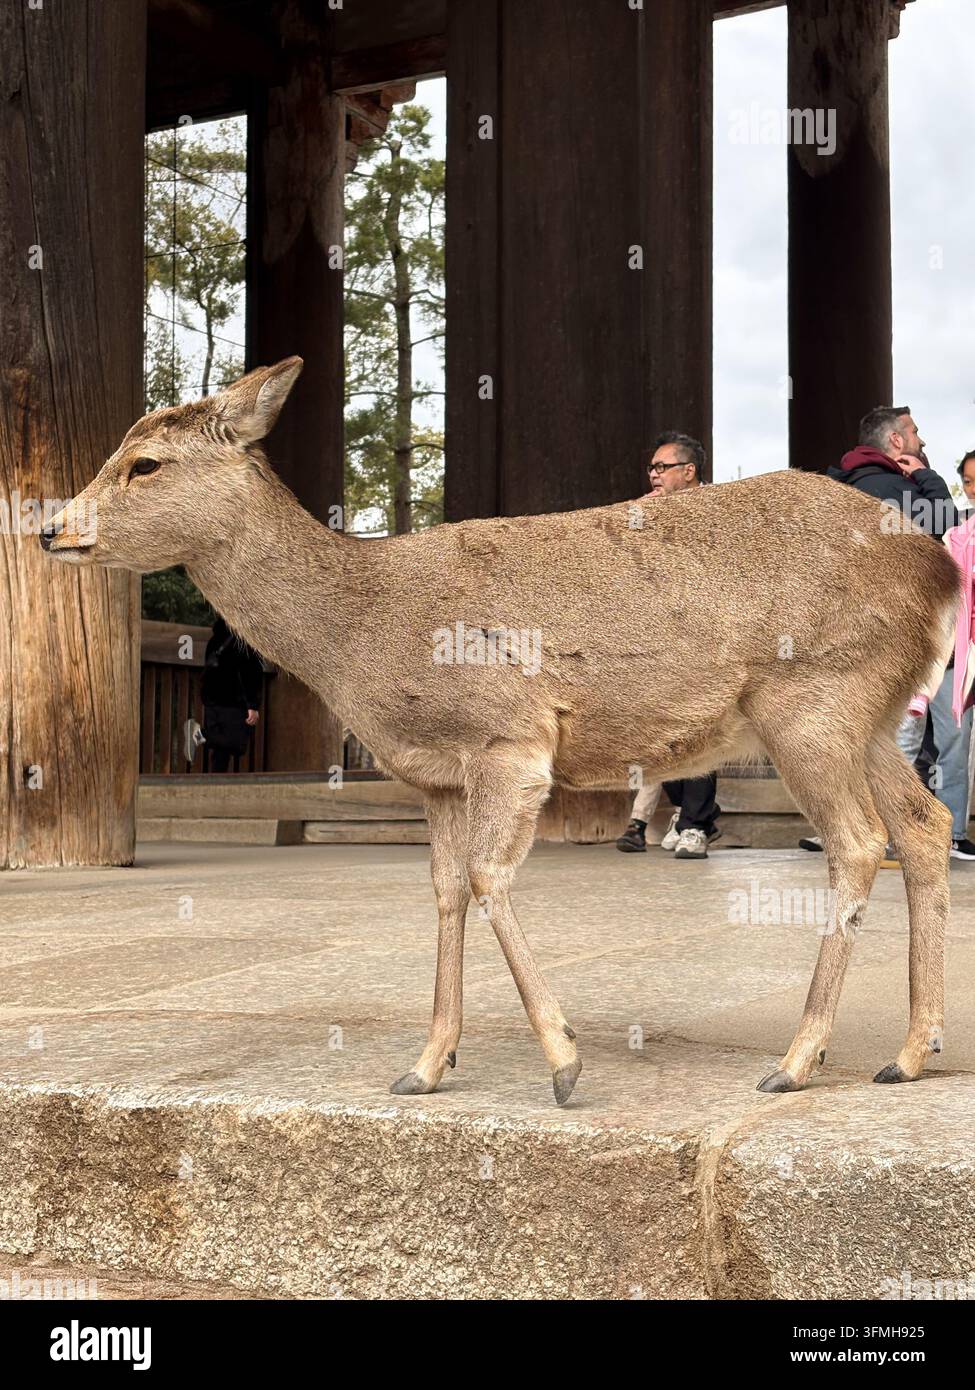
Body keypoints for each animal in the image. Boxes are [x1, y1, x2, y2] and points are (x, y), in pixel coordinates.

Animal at [41, 358, 960, 1106]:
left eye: (145, 463)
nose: (51, 528)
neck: (360, 633)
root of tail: (941, 571)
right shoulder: (436, 773)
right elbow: (447, 890)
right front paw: (425, 1064)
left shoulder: (508, 736)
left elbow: (488, 877)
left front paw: (563, 1062)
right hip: (871, 716)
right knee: (923, 823)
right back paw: (910, 1052)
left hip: (812, 699)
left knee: (857, 841)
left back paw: (796, 1060)